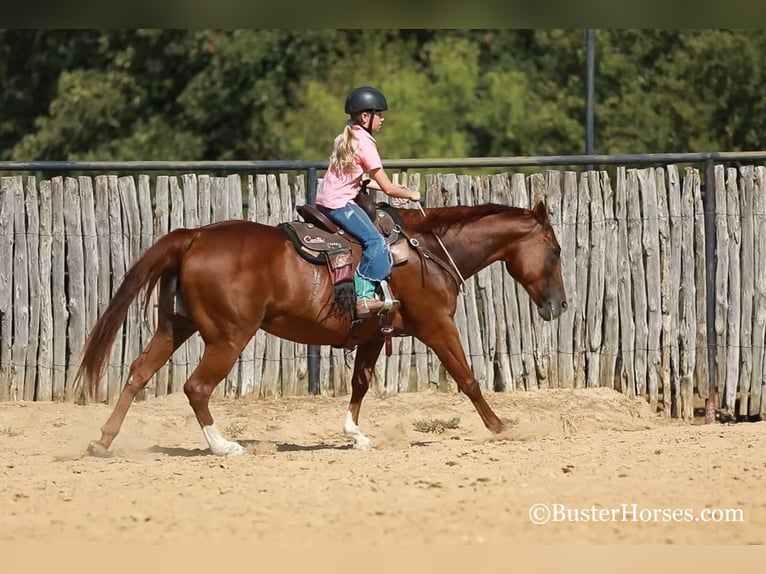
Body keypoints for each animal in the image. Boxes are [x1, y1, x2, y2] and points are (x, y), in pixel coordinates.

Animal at [76, 200, 568, 456]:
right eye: (556, 251)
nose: (560, 305)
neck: (426, 250)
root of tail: (194, 236)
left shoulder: (373, 335)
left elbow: (360, 383)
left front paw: (356, 435)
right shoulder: (436, 325)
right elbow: (467, 378)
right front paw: (501, 427)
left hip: (175, 327)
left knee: (139, 371)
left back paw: (103, 440)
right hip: (229, 336)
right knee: (196, 387)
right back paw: (222, 446)